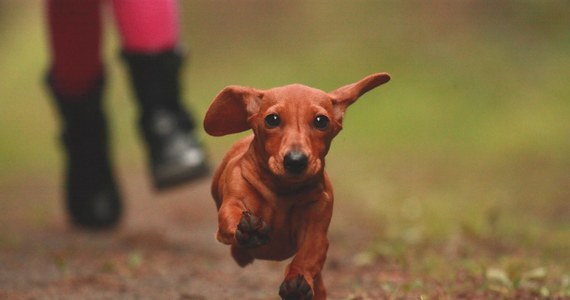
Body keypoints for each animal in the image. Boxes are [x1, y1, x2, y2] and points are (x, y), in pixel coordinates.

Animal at [202, 73, 388, 300]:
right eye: (272, 119)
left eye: (321, 121)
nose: (296, 161)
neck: (283, 190)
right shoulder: (234, 200)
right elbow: (232, 214)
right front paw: (249, 229)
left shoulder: (316, 231)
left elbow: (307, 256)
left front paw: (296, 282)